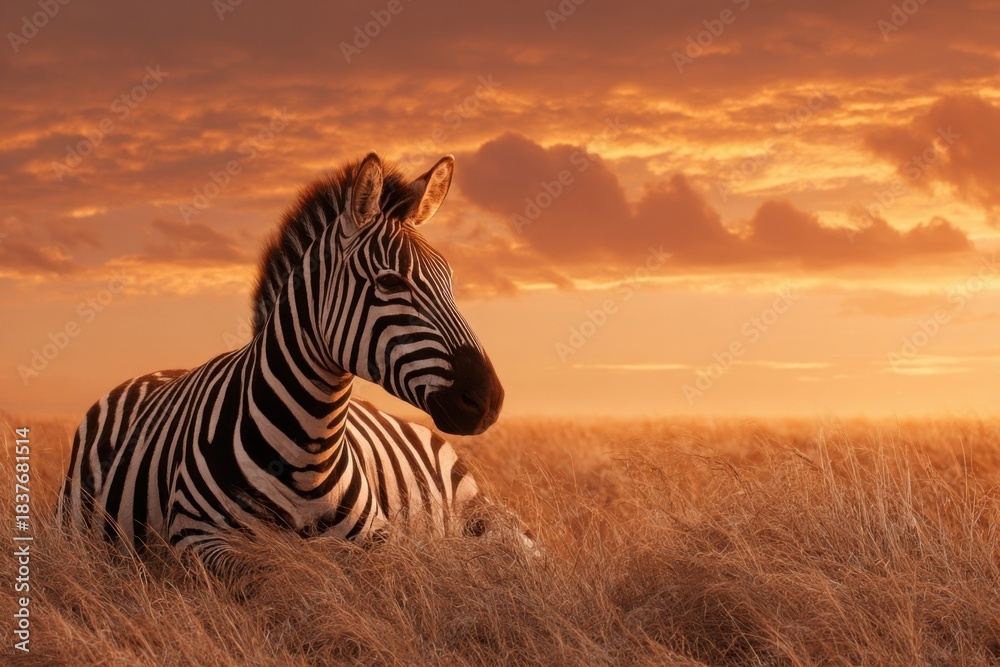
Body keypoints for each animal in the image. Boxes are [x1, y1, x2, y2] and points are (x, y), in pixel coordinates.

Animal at [57, 152, 517, 570]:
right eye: (389, 282)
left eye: (450, 281)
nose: (488, 400)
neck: (308, 452)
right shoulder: (196, 536)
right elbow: (266, 576)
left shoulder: (377, 537)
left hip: (480, 512)